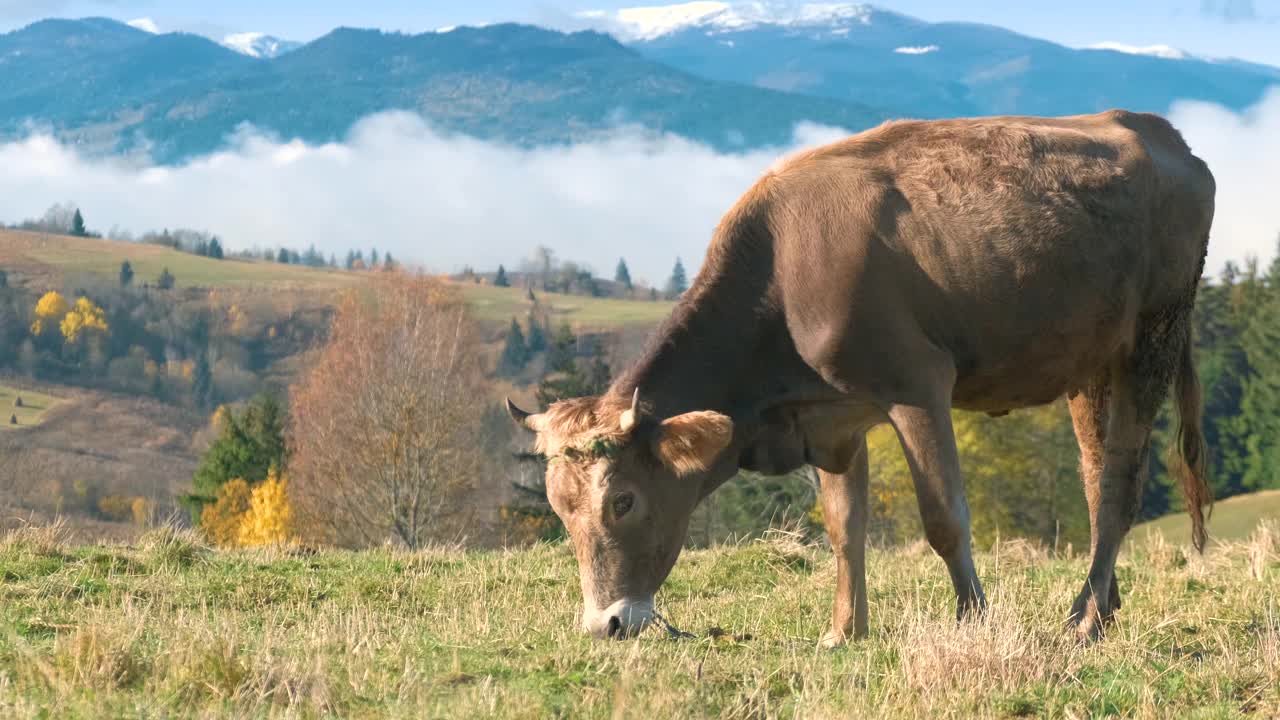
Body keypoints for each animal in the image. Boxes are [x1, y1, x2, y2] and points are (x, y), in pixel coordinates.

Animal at [506, 110, 1208, 638]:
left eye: (623, 500)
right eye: (558, 507)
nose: (606, 625)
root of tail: (1160, 133)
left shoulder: (917, 385)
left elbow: (944, 518)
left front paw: (973, 620)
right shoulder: (830, 421)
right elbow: (845, 527)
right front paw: (844, 631)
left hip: (1155, 335)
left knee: (1119, 481)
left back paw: (1086, 621)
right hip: (1089, 360)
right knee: (1094, 475)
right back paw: (1099, 607)